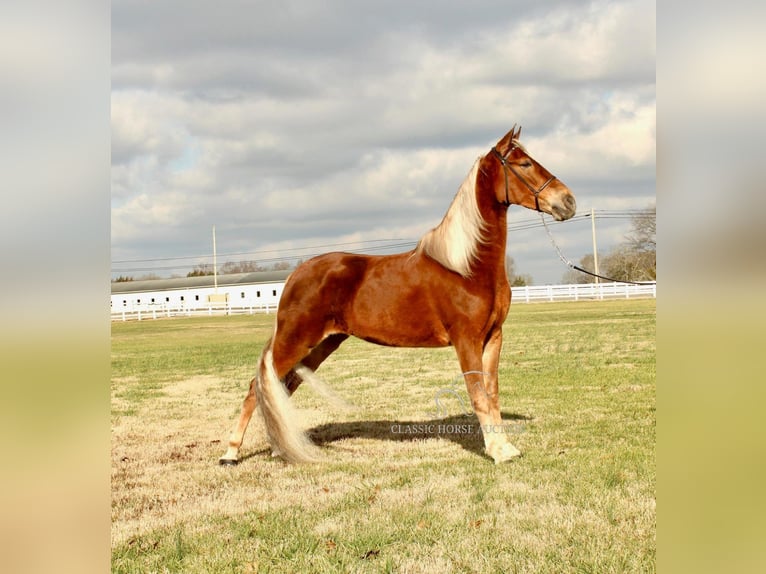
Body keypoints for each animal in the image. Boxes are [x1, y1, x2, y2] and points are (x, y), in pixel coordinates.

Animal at [220, 127, 576, 468]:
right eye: (524, 164)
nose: (568, 201)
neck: (467, 266)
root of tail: (295, 274)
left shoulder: (493, 337)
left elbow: (492, 392)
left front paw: (505, 447)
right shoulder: (467, 340)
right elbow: (478, 394)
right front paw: (499, 452)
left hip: (321, 344)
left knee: (283, 388)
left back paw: (280, 449)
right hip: (293, 342)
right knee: (256, 389)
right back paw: (231, 454)